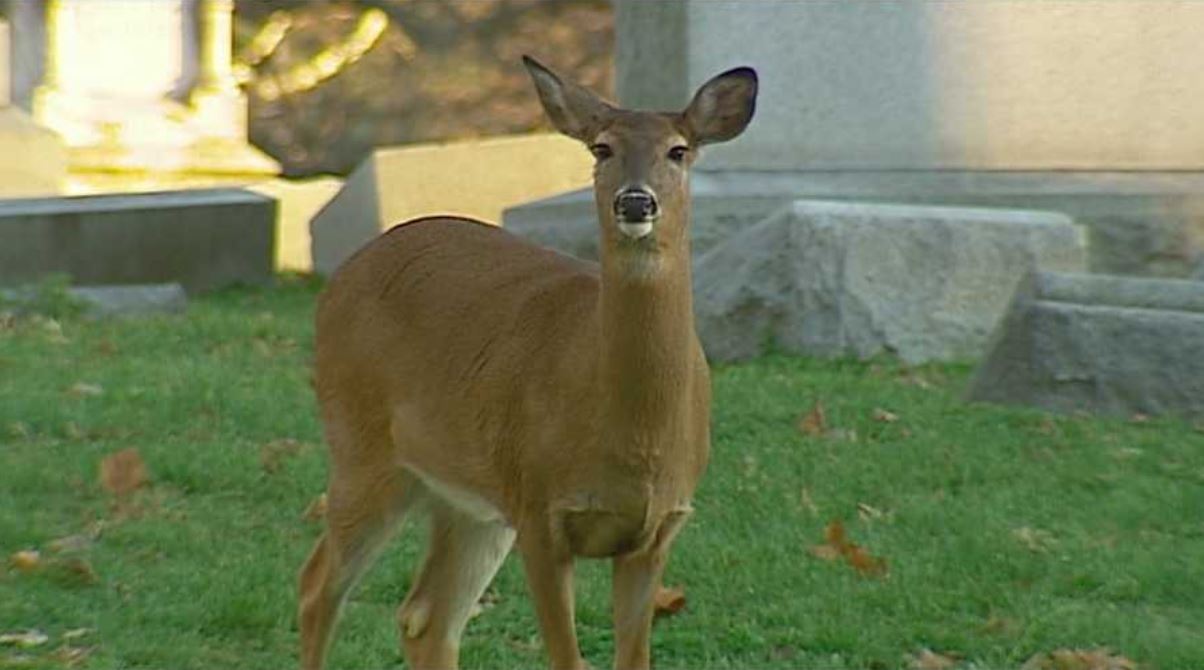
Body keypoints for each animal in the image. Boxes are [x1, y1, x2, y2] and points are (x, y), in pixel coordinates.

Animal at [298, 55, 757, 670]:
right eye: (601, 148)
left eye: (678, 150)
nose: (636, 202)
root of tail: (342, 276)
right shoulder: (540, 510)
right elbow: (568, 659)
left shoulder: (656, 531)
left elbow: (632, 659)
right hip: (362, 447)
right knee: (318, 586)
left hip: (470, 497)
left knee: (424, 615)